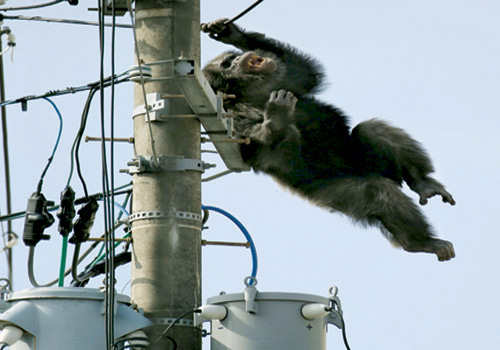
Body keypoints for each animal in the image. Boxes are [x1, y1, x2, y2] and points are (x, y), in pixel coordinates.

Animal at [201, 18, 456, 260]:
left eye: (231, 58)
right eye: (227, 65)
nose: (238, 58)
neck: (249, 94)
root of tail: (359, 169)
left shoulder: (280, 79)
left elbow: (304, 73)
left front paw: (231, 33)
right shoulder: (230, 112)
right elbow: (254, 145)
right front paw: (276, 115)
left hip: (365, 160)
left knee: (371, 130)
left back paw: (422, 183)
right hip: (334, 195)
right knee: (378, 192)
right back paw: (422, 242)